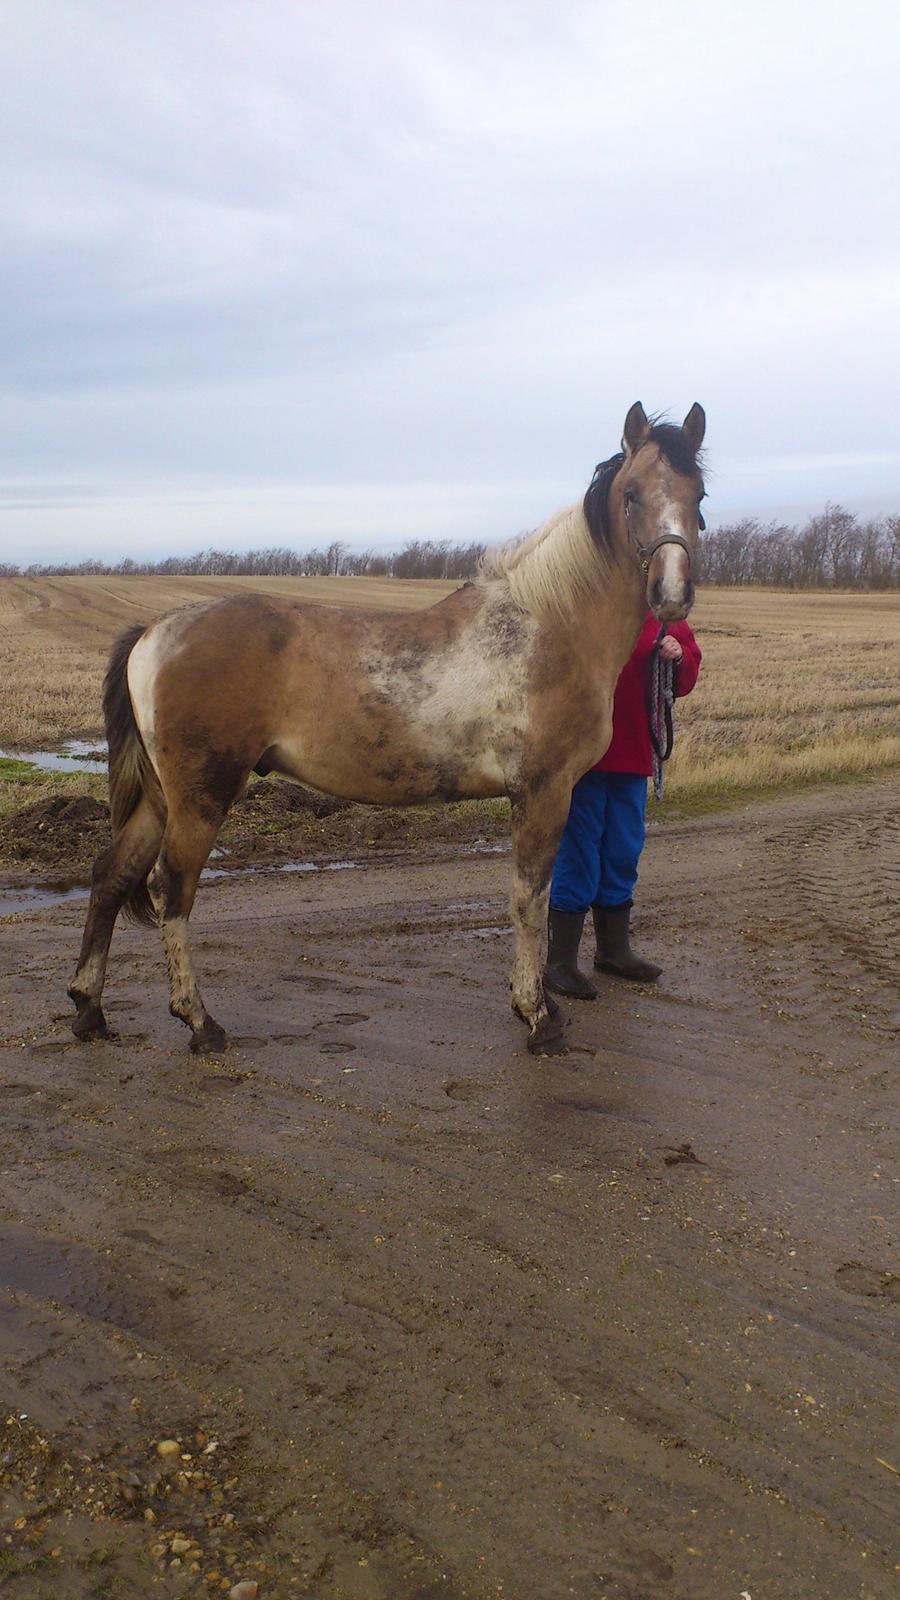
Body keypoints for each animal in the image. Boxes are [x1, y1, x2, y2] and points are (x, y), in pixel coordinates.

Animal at [66, 400, 704, 1056]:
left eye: (699, 494)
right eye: (631, 494)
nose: (672, 594)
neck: (549, 625)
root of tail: (153, 632)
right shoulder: (543, 791)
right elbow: (530, 899)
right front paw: (538, 1015)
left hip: (161, 797)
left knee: (112, 875)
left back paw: (90, 1009)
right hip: (199, 797)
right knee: (174, 891)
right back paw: (198, 1022)